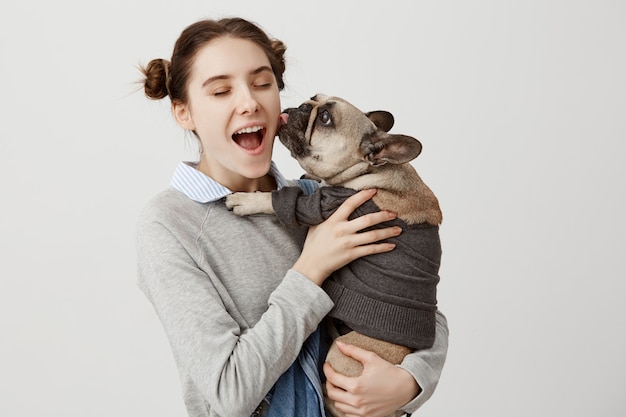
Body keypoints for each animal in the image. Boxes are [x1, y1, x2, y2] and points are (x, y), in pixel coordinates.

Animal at [227, 94, 442, 416]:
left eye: (325, 119)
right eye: (313, 100)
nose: (302, 106)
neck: (369, 170)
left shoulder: (324, 206)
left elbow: (286, 201)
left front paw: (248, 200)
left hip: (342, 357)